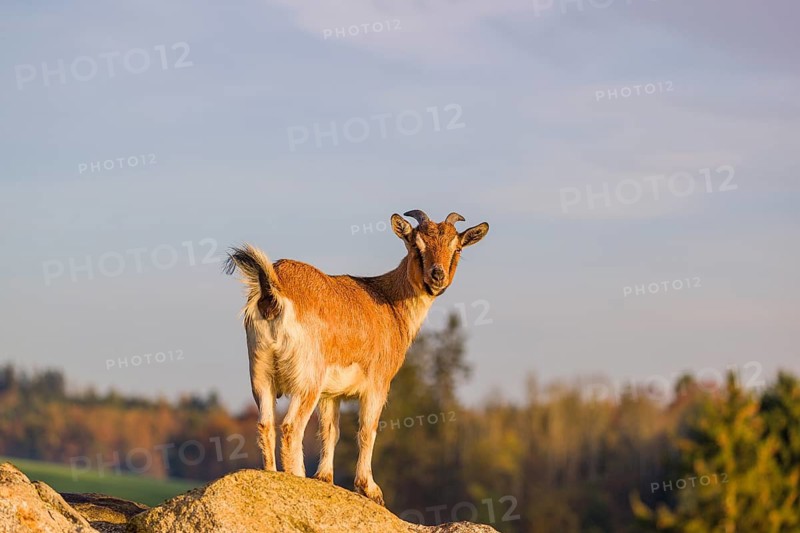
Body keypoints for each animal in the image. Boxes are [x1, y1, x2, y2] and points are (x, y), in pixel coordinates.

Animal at [223, 210, 489, 505]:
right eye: (415, 245)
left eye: (457, 248)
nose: (437, 275)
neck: (389, 302)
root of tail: (274, 290)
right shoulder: (377, 384)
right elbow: (367, 430)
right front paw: (370, 489)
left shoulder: (331, 394)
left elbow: (331, 430)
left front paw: (324, 478)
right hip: (307, 380)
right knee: (292, 426)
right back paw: (297, 479)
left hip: (261, 372)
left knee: (265, 424)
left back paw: (272, 475)